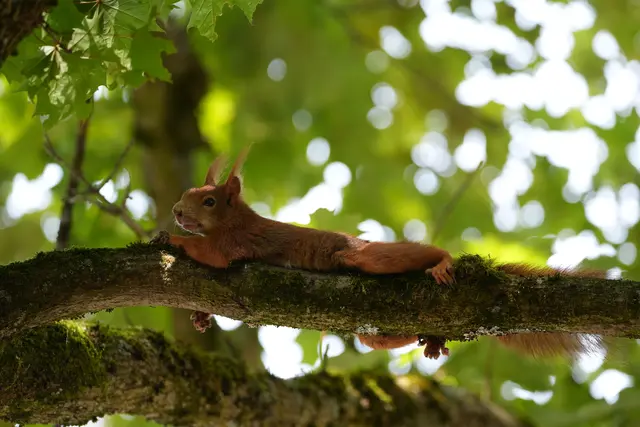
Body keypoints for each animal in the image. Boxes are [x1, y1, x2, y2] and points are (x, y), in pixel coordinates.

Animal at [158, 147, 607, 360]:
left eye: (209, 201)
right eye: (186, 193)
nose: (176, 211)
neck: (235, 218)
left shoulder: (236, 243)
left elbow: (211, 253)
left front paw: (173, 241)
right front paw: (200, 316)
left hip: (363, 256)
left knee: (416, 255)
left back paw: (443, 263)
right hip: (370, 330)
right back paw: (431, 338)